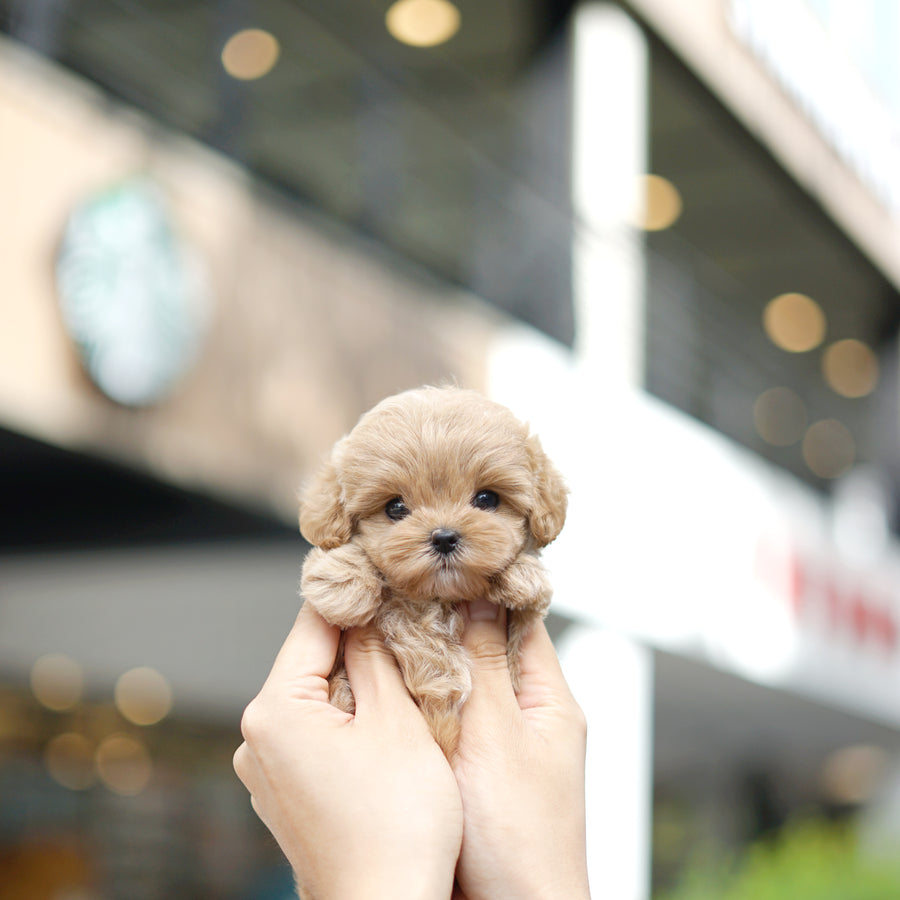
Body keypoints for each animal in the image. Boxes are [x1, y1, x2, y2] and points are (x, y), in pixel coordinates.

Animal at [298, 386, 568, 760]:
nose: (444, 537)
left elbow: (530, 603)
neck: (436, 600)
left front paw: (522, 575)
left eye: (487, 499)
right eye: (395, 507)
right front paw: (344, 583)